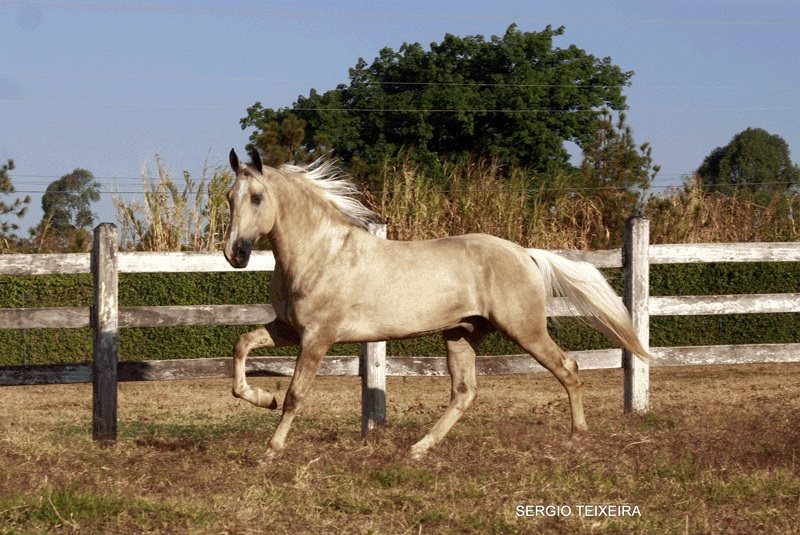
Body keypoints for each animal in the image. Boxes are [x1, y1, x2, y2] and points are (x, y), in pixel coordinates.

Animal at [223, 148, 648, 460]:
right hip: (462, 334)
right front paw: (262, 398)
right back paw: (418, 448)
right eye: (230, 198)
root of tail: (525, 253)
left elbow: (295, 395)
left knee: (568, 368)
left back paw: (578, 434)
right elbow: (242, 346)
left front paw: (271, 450)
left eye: (257, 197)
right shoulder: (288, 329)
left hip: (525, 330)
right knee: (464, 392)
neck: (322, 253)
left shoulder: (317, 337)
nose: (235, 254)